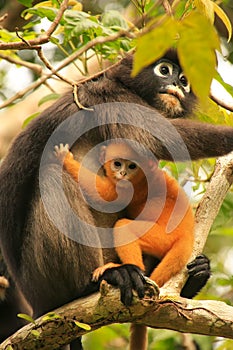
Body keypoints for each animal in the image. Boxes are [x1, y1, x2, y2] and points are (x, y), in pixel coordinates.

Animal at [53, 142, 194, 290]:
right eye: (117, 164)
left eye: (132, 166)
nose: (123, 173)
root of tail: (187, 234)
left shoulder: (128, 189)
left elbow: (101, 192)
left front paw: (65, 158)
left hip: (163, 238)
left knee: (122, 226)